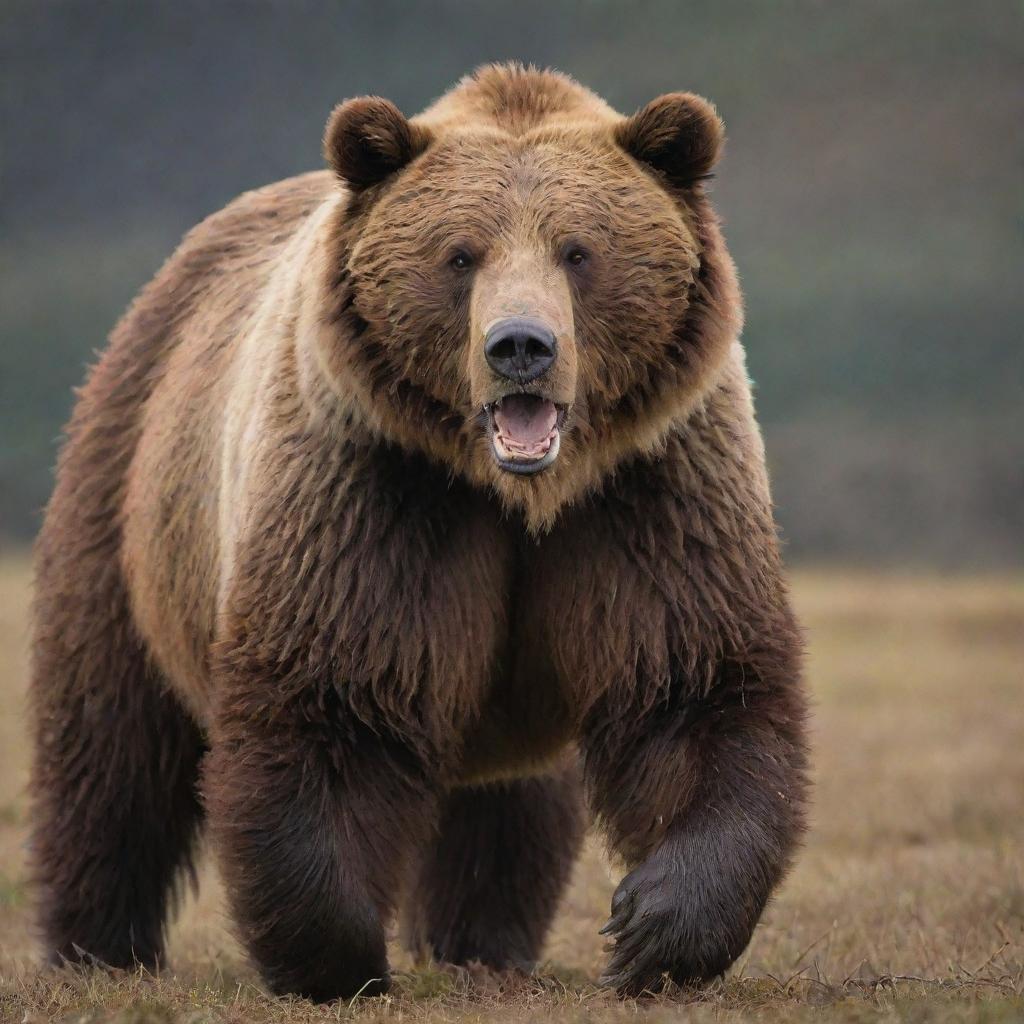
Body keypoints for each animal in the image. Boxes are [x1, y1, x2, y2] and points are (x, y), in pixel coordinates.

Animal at [29, 64, 806, 999]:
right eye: (461, 253)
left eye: (578, 251)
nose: (521, 347)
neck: (515, 495)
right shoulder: (375, 487)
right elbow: (330, 698)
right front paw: (339, 955)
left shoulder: (648, 489)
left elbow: (694, 685)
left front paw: (651, 926)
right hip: (128, 492)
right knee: (110, 744)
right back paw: (95, 945)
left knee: (510, 810)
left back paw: (484, 940)